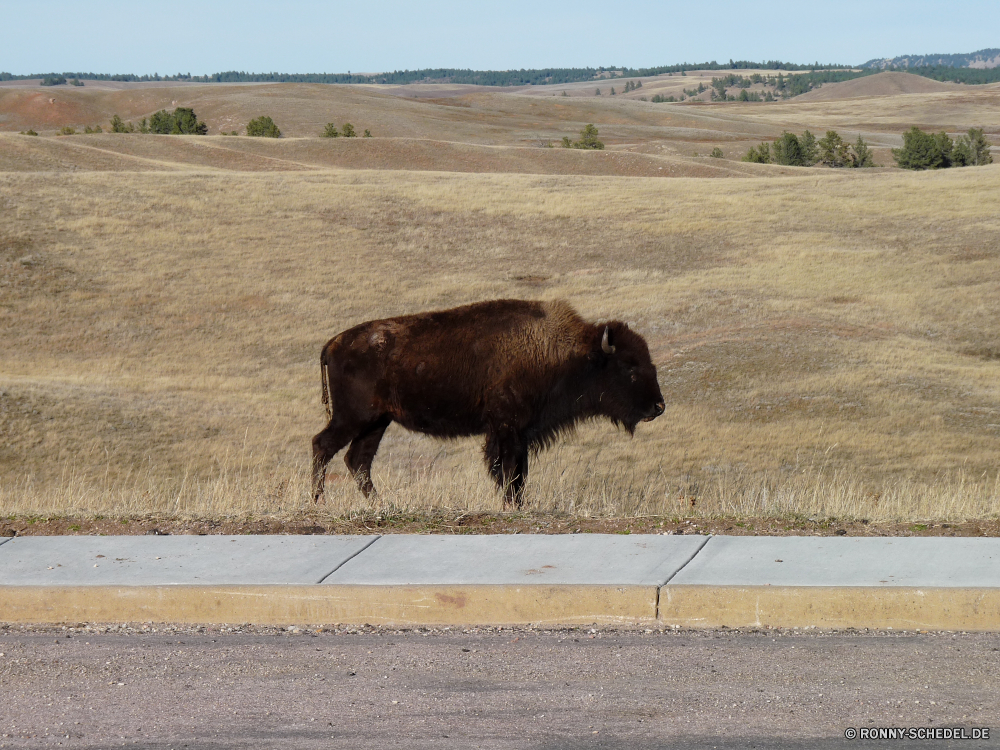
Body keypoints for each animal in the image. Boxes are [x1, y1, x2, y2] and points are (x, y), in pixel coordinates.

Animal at [312, 302, 664, 508]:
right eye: (630, 368)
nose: (659, 407)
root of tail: (333, 343)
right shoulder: (507, 428)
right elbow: (508, 469)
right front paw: (511, 505)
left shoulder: (519, 432)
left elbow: (518, 471)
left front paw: (517, 504)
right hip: (354, 417)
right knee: (323, 445)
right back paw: (319, 501)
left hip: (376, 421)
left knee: (358, 460)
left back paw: (382, 505)